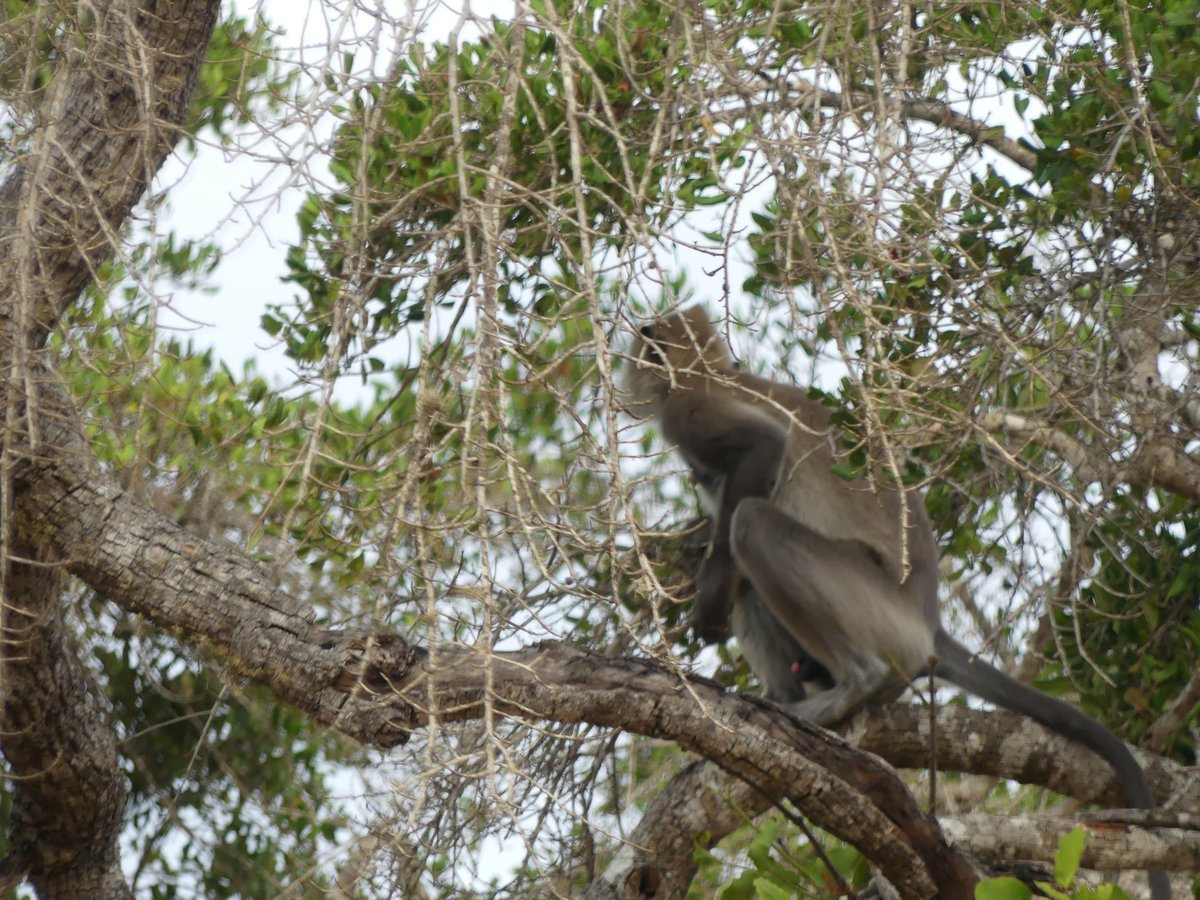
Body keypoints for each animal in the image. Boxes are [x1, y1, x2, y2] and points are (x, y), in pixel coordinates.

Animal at [622, 307, 1169, 900]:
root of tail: (927, 619)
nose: (627, 382)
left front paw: (708, 594)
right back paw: (781, 696)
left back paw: (848, 689)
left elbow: (763, 448)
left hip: (870, 597)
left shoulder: (689, 412)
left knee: (750, 525)